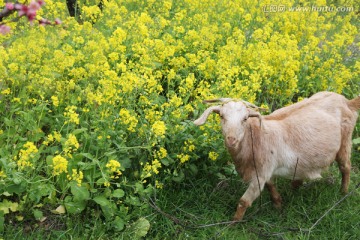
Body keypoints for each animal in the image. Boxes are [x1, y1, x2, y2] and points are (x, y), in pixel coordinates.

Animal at [194, 91, 360, 221]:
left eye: (245, 119)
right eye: (221, 116)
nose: (231, 139)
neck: (256, 138)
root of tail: (347, 102)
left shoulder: (259, 175)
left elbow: (243, 201)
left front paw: (233, 224)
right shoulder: (267, 170)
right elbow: (271, 186)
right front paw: (278, 205)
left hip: (345, 141)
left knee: (345, 167)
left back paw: (343, 193)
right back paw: (296, 186)